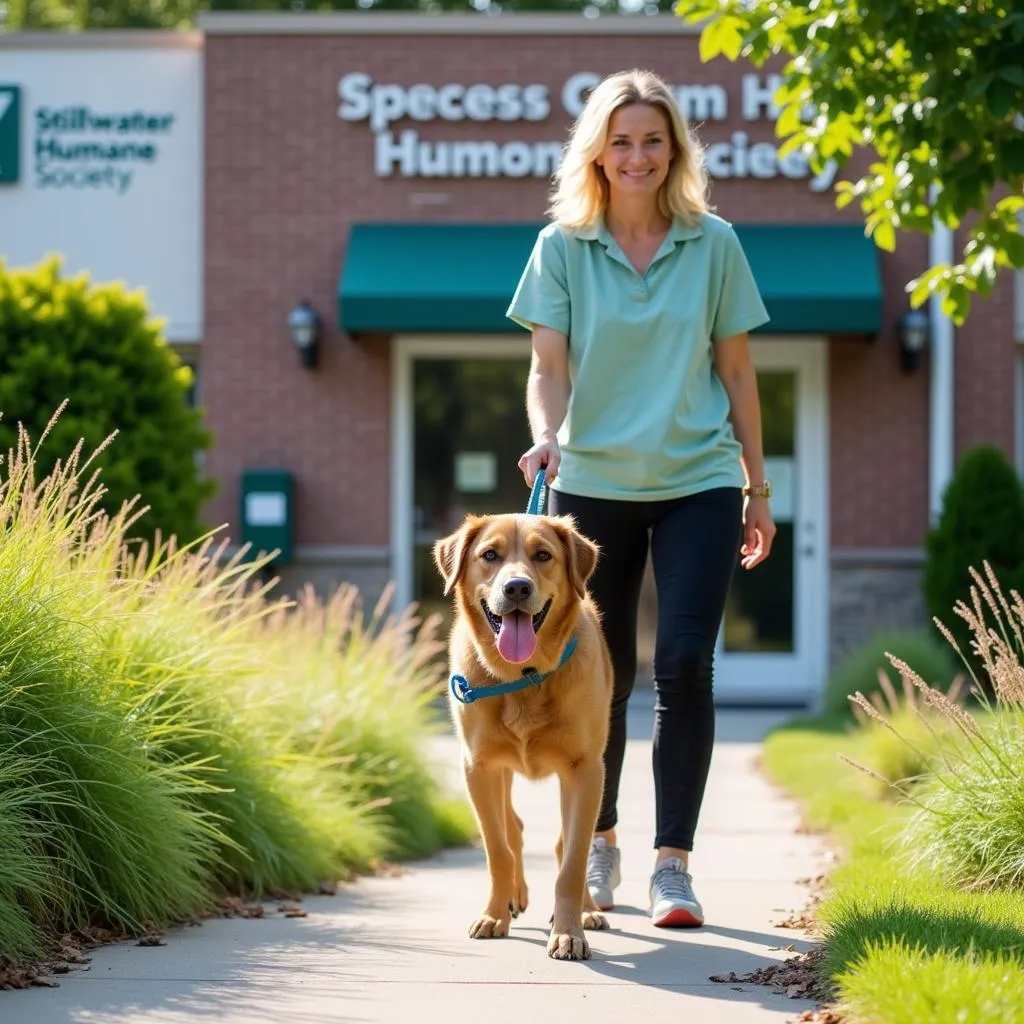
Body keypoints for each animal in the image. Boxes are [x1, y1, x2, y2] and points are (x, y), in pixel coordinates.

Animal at [434, 512, 610, 958]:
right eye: (489, 555)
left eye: (543, 555)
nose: (517, 587)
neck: (524, 677)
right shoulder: (478, 767)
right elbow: (498, 849)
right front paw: (494, 915)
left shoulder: (585, 769)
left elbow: (573, 858)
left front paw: (568, 931)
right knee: (512, 828)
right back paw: (514, 898)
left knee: (567, 842)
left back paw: (588, 909)